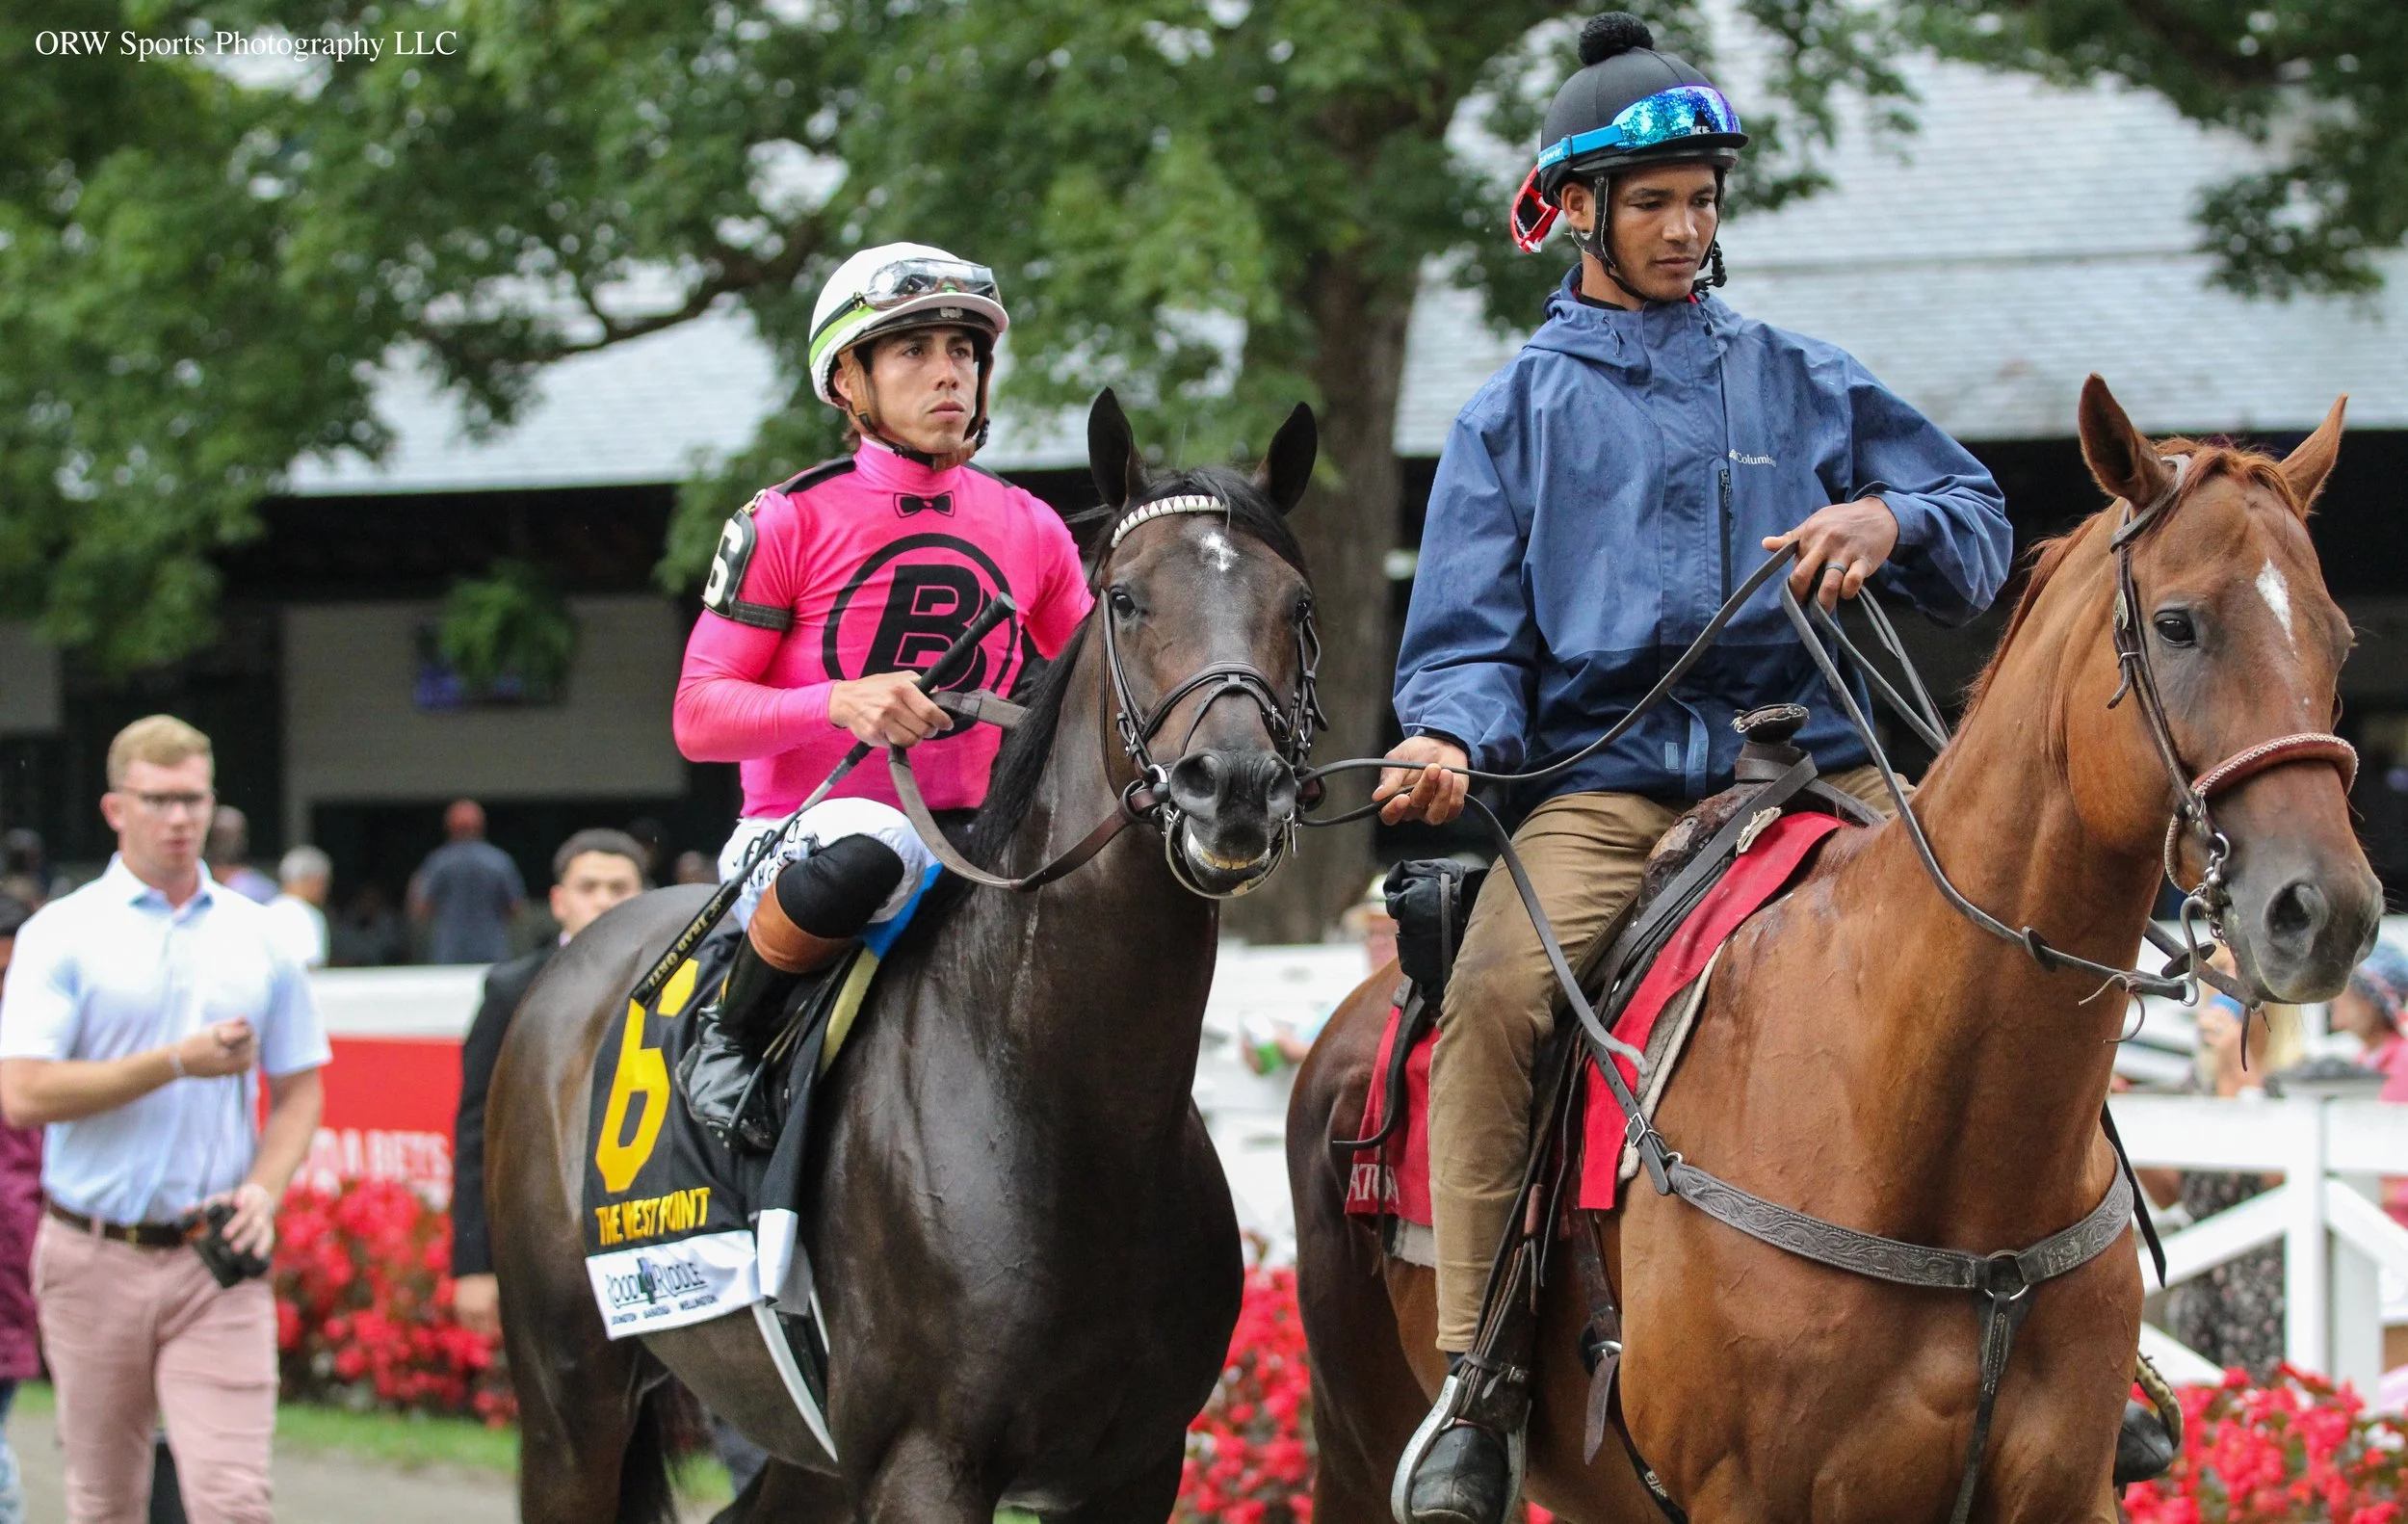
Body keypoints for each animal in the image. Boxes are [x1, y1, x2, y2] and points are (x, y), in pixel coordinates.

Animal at [484, 390, 1326, 1522]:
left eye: (1297, 604)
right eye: (1127, 599)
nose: (1232, 786)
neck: (1063, 1103)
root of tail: (570, 965)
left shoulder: (1135, 1466)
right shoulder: (926, 1461)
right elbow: (712, 694)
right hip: (567, 1402)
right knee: (836, 867)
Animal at [1290, 375, 2382, 1522]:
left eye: (2336, 640)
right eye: (2176, 624)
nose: (2323, 908)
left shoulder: (2069, 1493)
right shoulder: (1750, 1501)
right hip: (1355, 1435)